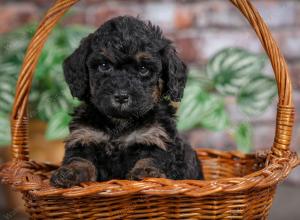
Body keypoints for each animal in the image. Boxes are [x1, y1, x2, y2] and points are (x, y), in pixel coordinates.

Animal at [50, 15, 204, 187]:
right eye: (104, 66)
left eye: (143, 69)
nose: (121, 96)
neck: (120, 122)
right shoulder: (84, 137)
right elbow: (80, 160)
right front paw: (70, 172)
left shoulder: (157, 137)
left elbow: (151, 158)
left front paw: (146, 173)